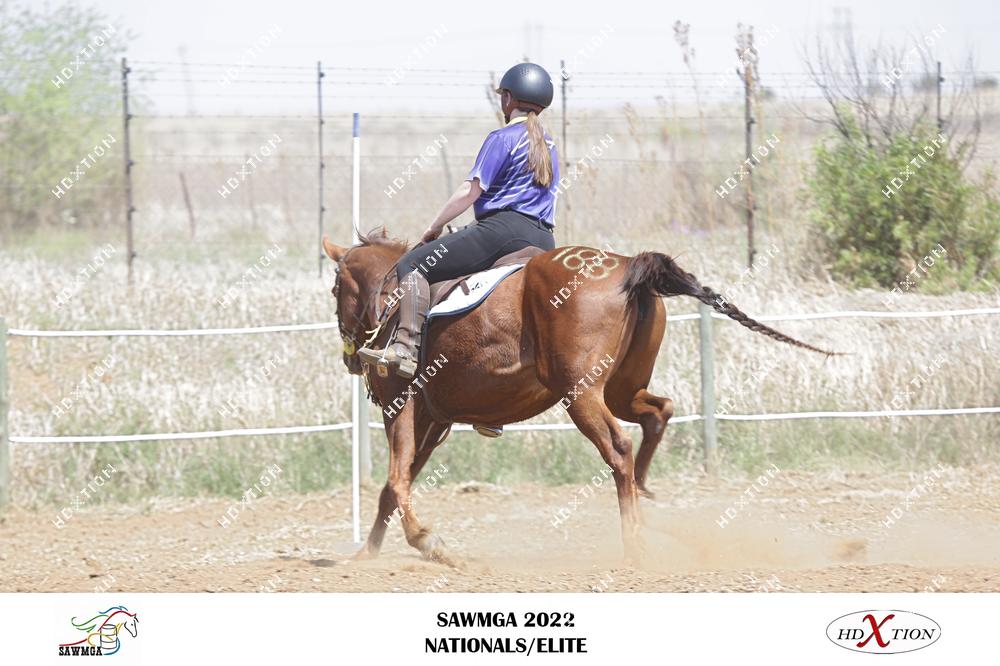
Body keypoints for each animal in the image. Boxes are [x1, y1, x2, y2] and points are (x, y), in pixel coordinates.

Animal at [324, 229, 833, 565]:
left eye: (334, 288)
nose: (350, 356)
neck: (393, 297)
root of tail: (628, 265)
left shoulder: (402, 407)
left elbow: (395, 479)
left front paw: (430, 544)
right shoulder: (436, 418)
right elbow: (395, 486)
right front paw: (368, 553)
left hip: (581, 393)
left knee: (619, 447)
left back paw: (634, 543)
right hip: (622, 388)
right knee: (658, 414)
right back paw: (645, 503)